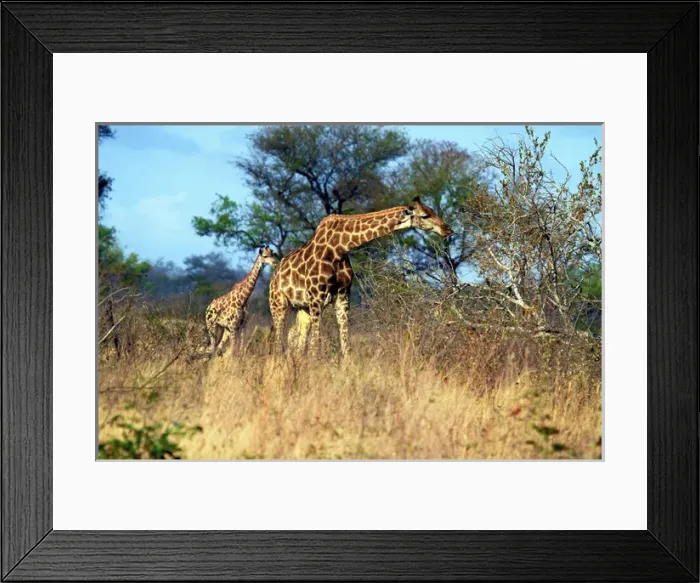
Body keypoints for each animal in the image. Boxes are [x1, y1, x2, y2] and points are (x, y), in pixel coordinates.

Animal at [269, 197, 453, 359]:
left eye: (432, 211)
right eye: (425, 215)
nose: (448, 229)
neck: (339, 247)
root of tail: (274, 275)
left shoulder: (342, 297)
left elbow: (345, 345)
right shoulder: (316, 297)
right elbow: (315, 345)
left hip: (303, 308)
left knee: (296, 341)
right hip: (279, 304)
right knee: (279, 342)